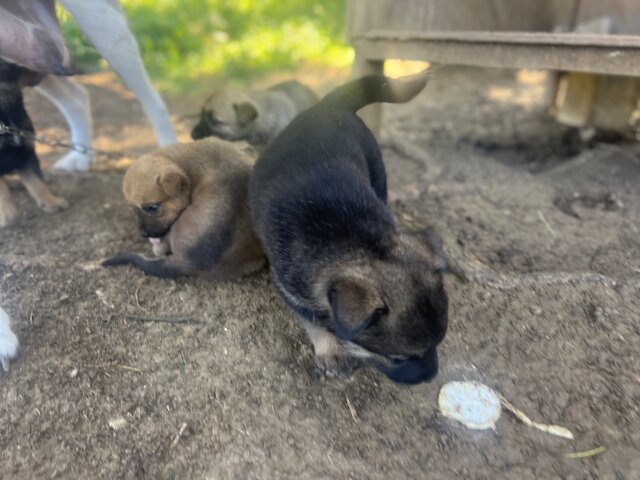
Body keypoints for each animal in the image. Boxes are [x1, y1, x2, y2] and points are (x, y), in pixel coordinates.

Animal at [248, 72, 448, 386]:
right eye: (398, 358)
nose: (430, 377)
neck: (359, 241)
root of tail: (328, 105)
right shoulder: (290, 291)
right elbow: (315, 323)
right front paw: (332, 352)